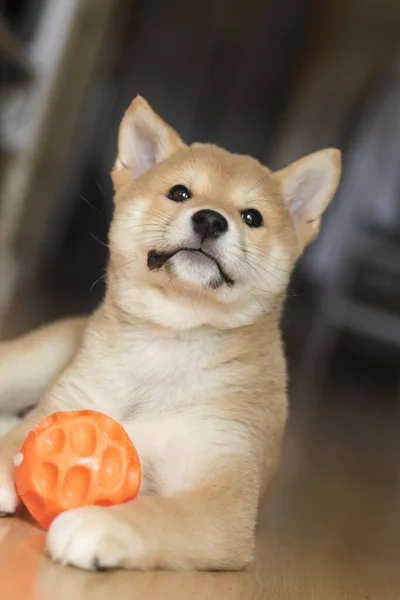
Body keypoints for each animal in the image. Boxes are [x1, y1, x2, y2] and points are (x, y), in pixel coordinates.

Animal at [0, 96, 340, 568]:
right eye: (180, 193)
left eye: (252, 217)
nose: (211, 220)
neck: (168, 343)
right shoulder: (58, 407)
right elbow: (11, 442)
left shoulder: (223, 497)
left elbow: (156, 514)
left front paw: (94, 524)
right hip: (28, 365)